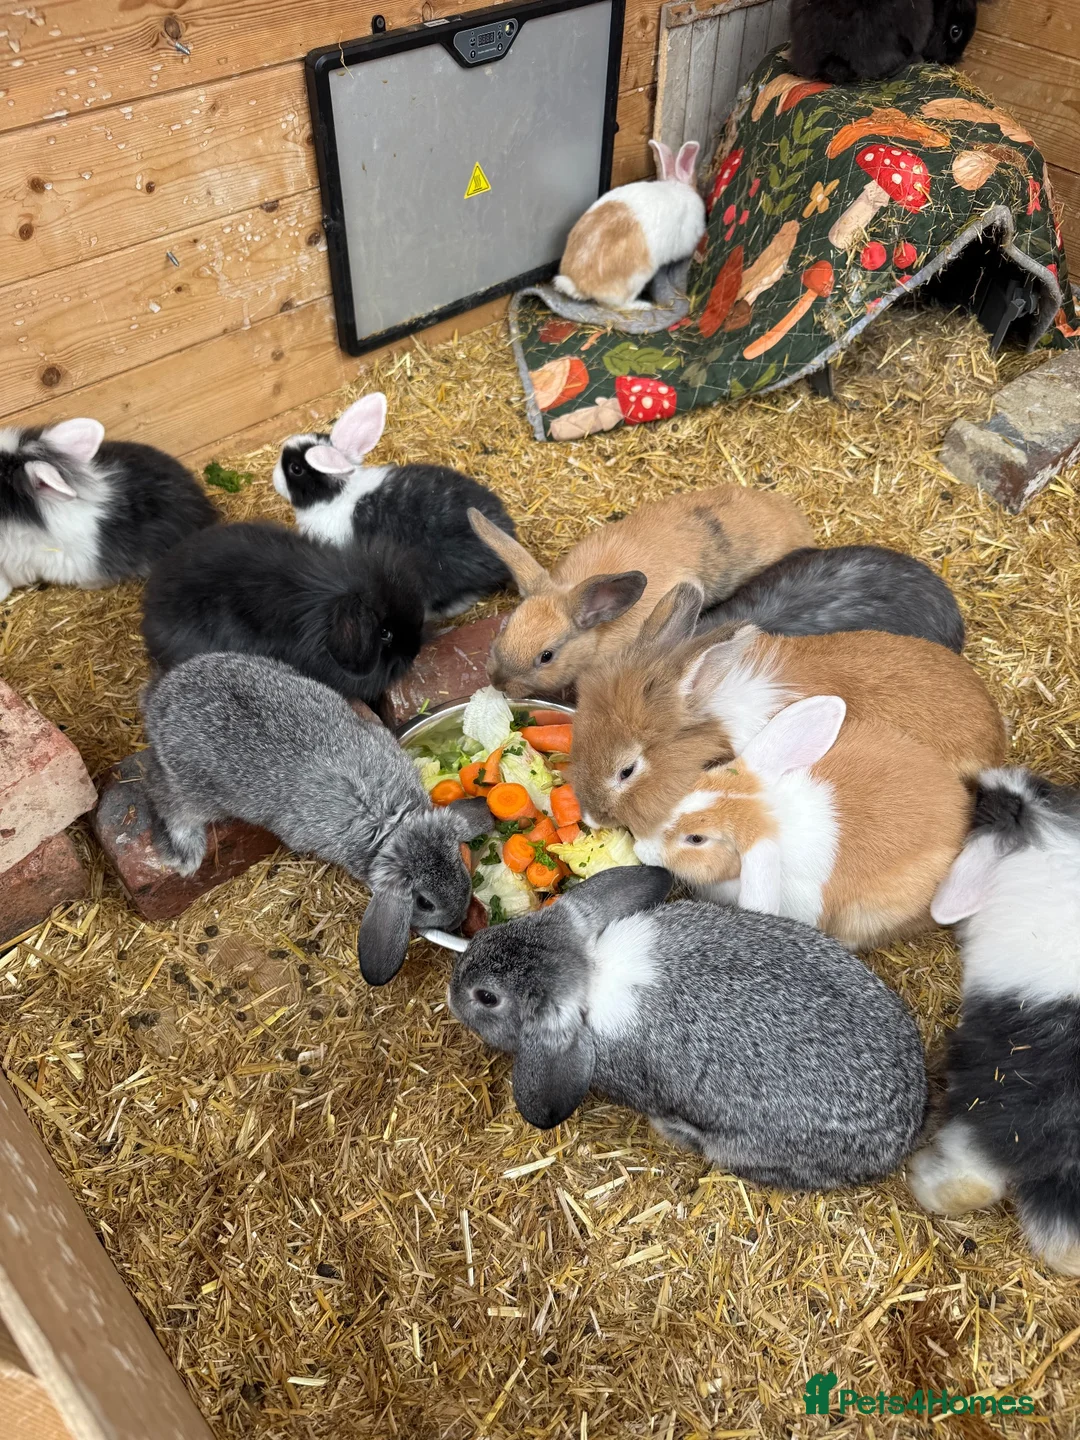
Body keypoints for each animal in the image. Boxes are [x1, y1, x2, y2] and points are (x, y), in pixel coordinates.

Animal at [141, 652, 493, 984]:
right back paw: (184, 854)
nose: (457, 920)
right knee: (165, 797)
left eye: (461, 862)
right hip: (195, 789)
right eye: (424, 902)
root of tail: (161, 697)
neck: (390, 825)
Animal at [908, 768, 1080, 1275]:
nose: (981, 778)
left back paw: (919, 1175)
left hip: (981, 1114)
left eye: (984, 807)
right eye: (1045, 786)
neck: (1045, 836)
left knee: (971, 1185)